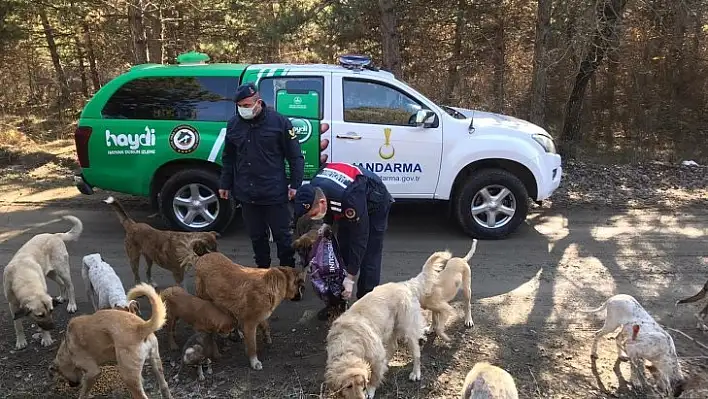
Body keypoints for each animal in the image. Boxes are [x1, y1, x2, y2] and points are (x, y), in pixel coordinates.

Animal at [2, 216, 82, 350]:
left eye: (51, 311)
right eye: (40, 315)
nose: (53, 327)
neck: (24, 276)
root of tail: (55, 235)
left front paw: (46, 338)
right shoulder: (12, 305)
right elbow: (17, 325)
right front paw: (21, 341)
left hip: (62, 270)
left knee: (70, 286)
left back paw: (71, 305)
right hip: (51, 273)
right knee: (61, 284)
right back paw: (62, 297)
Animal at [322, 252, 448, 398]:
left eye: (362, 383)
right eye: (348, 386)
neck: (347, 342)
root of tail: (404, 284)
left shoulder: (376, 356)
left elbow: (375, 376)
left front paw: (371, 390)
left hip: (408, 329)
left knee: (416, 353)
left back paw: (415, 373)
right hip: (389, 329)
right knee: (393, 347)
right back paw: (387, 363)